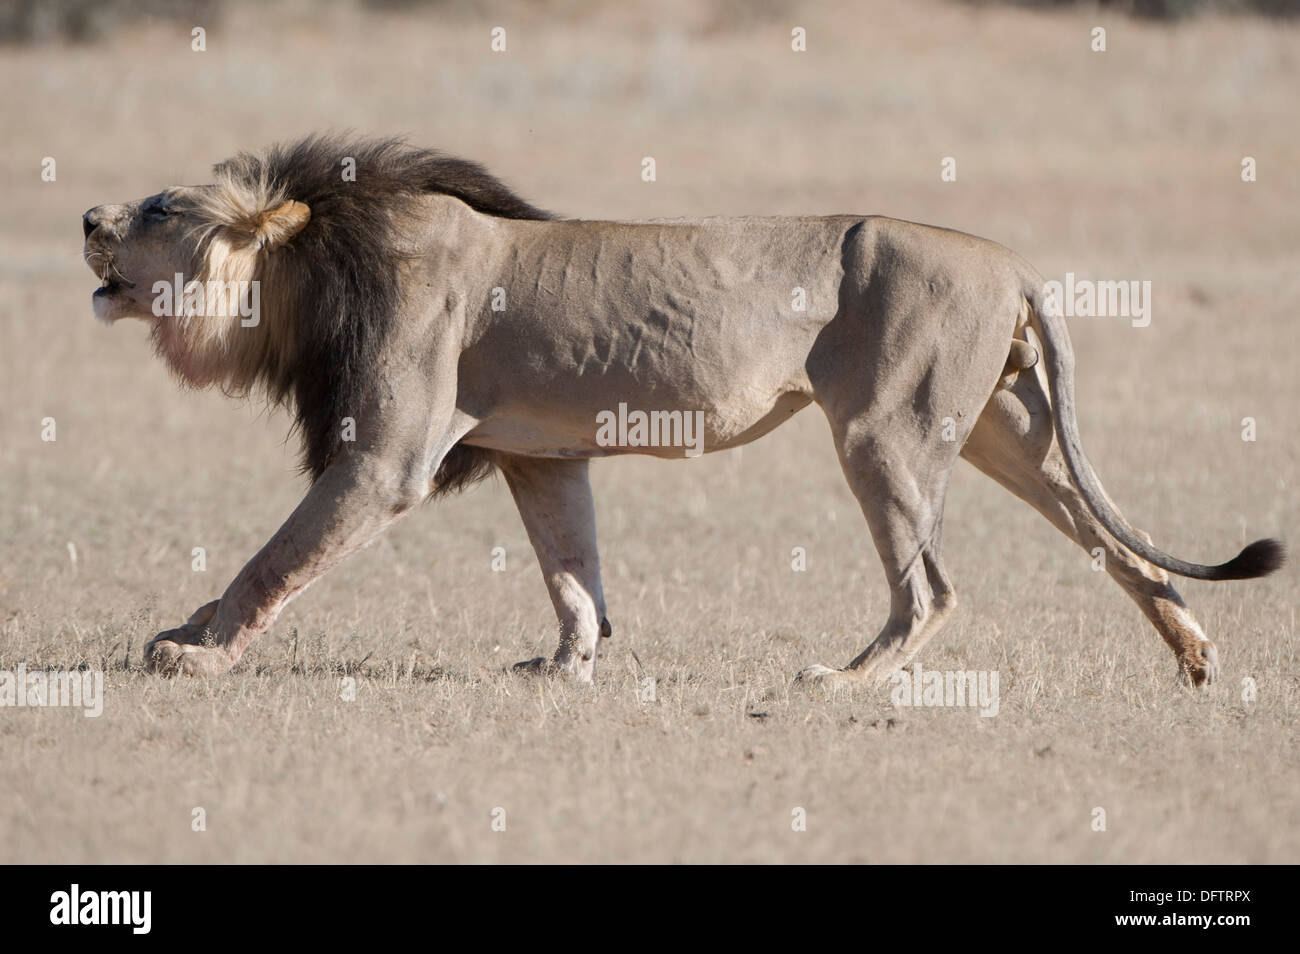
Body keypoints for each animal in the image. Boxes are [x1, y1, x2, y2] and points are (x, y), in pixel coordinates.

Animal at [78, 134, 1279, 686]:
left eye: (161, 209)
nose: (86, 216)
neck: (307, 274)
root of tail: (1013, 261)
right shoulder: (539, 455)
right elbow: (572, 570)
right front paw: (566, 668)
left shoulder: (387, 457)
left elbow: (274, 558)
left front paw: (194, 651)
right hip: (998, 430)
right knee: (1115, 542)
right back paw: (1195, 658)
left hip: (882, 431)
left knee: (932, 588)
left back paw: (842, 681)